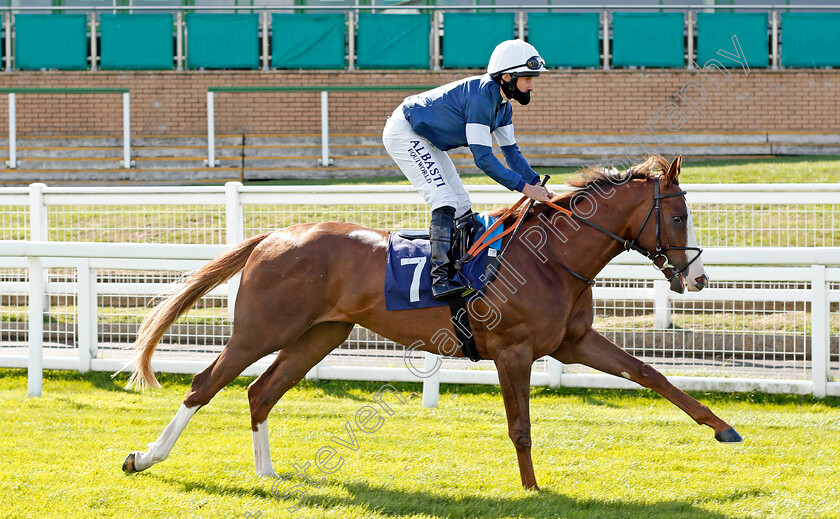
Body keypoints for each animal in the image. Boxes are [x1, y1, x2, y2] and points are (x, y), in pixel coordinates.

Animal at [121, 155, 740, 492]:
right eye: (679, 216)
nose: (698, 277)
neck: (549, 257)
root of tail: (274, 235)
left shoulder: (574, 343)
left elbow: (651, 374)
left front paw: (722, 428)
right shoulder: (513, 352)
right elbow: (521, 427)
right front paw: (532, 488)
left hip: (319, 334)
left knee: (260, 392)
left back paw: (267, 473)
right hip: (262, 329)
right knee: (205, 384)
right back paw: (144, 457)